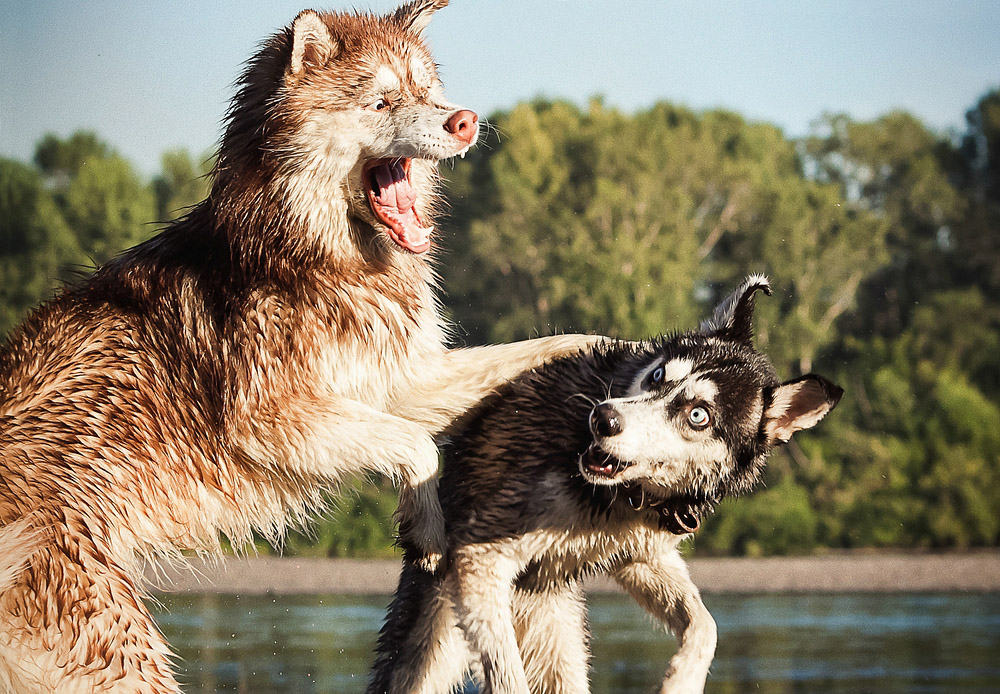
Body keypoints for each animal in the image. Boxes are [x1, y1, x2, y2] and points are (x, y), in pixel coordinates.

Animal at [0, 2, 592, 692]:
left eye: (427, 92)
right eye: (381, 100)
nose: (465, 120)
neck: (313, 252)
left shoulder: (403, 382)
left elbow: (550, 343)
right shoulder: (271, 422)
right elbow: (414, 448)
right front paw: (423, 526)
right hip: (123, 654)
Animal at [368, 278, 844, 694]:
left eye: (698, 415)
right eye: (657, 377)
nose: (603, 418)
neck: (626, 495)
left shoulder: (641, 556)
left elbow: (705, 624)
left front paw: (681, 682)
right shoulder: (479, 555)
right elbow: (506, 674)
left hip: (555, 645)